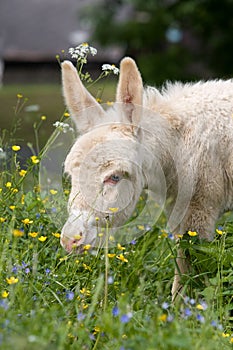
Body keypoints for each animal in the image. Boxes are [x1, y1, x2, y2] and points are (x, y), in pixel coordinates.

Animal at [60, 56, 233, 298]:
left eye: (114, 177)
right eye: (71, 175)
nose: (70, 240)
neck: (177, 146)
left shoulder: (201, 207)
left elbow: (193, 270)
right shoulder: (180, 209)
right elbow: (184, 269)